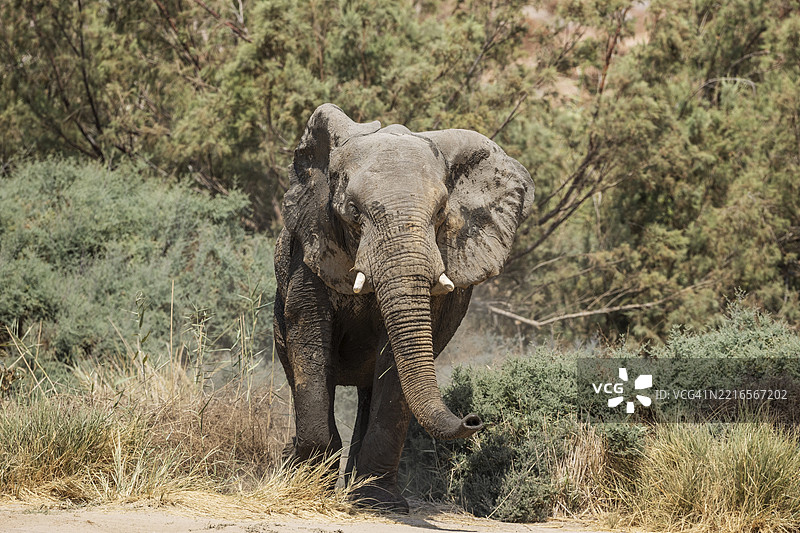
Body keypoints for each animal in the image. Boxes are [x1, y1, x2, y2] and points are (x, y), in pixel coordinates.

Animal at [273, 103, 534, 512]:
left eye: (441, 212)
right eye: (352, 212)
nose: (474, 420)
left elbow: (396, 365)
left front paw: (378, 505)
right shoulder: (309, 252)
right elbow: (310, 342)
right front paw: (308, 487)